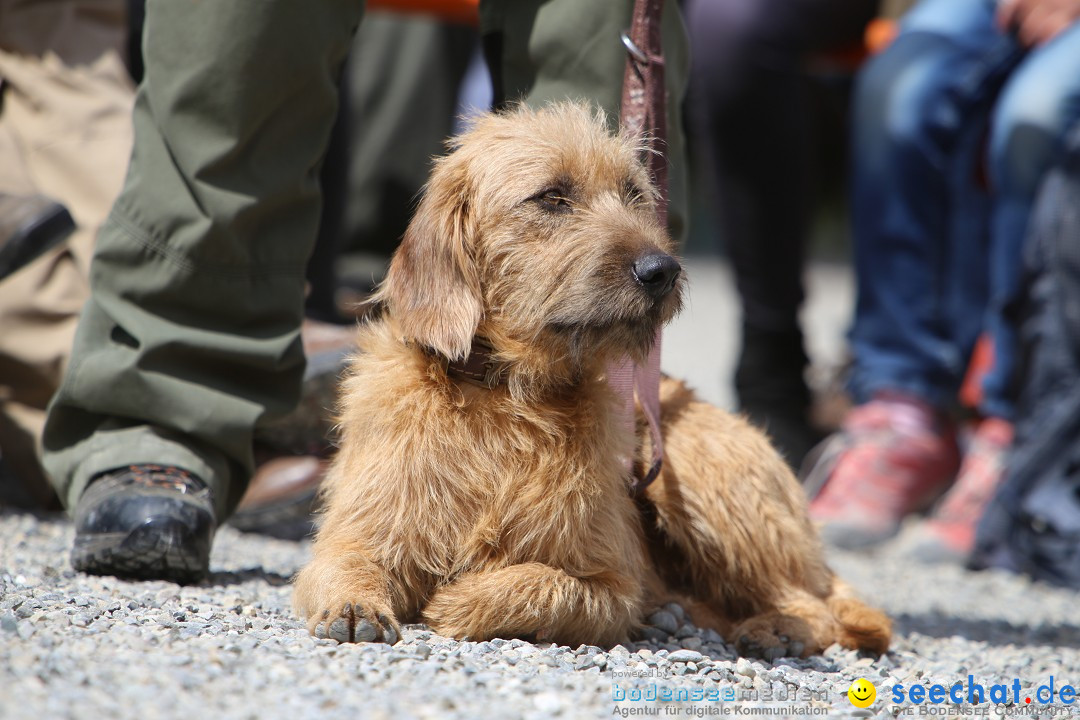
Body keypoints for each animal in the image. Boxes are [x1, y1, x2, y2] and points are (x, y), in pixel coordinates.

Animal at [291, 101, 889, 660]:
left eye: (633, 193)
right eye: (553, 197)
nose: (662, 270)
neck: (506, 395)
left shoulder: (613, 587)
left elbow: (542, 584)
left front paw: (462, 599)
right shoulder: (359, 531)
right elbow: (342, 562)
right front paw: (355, 604)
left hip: (696, 470)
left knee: (810, 603)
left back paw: (776, 629)